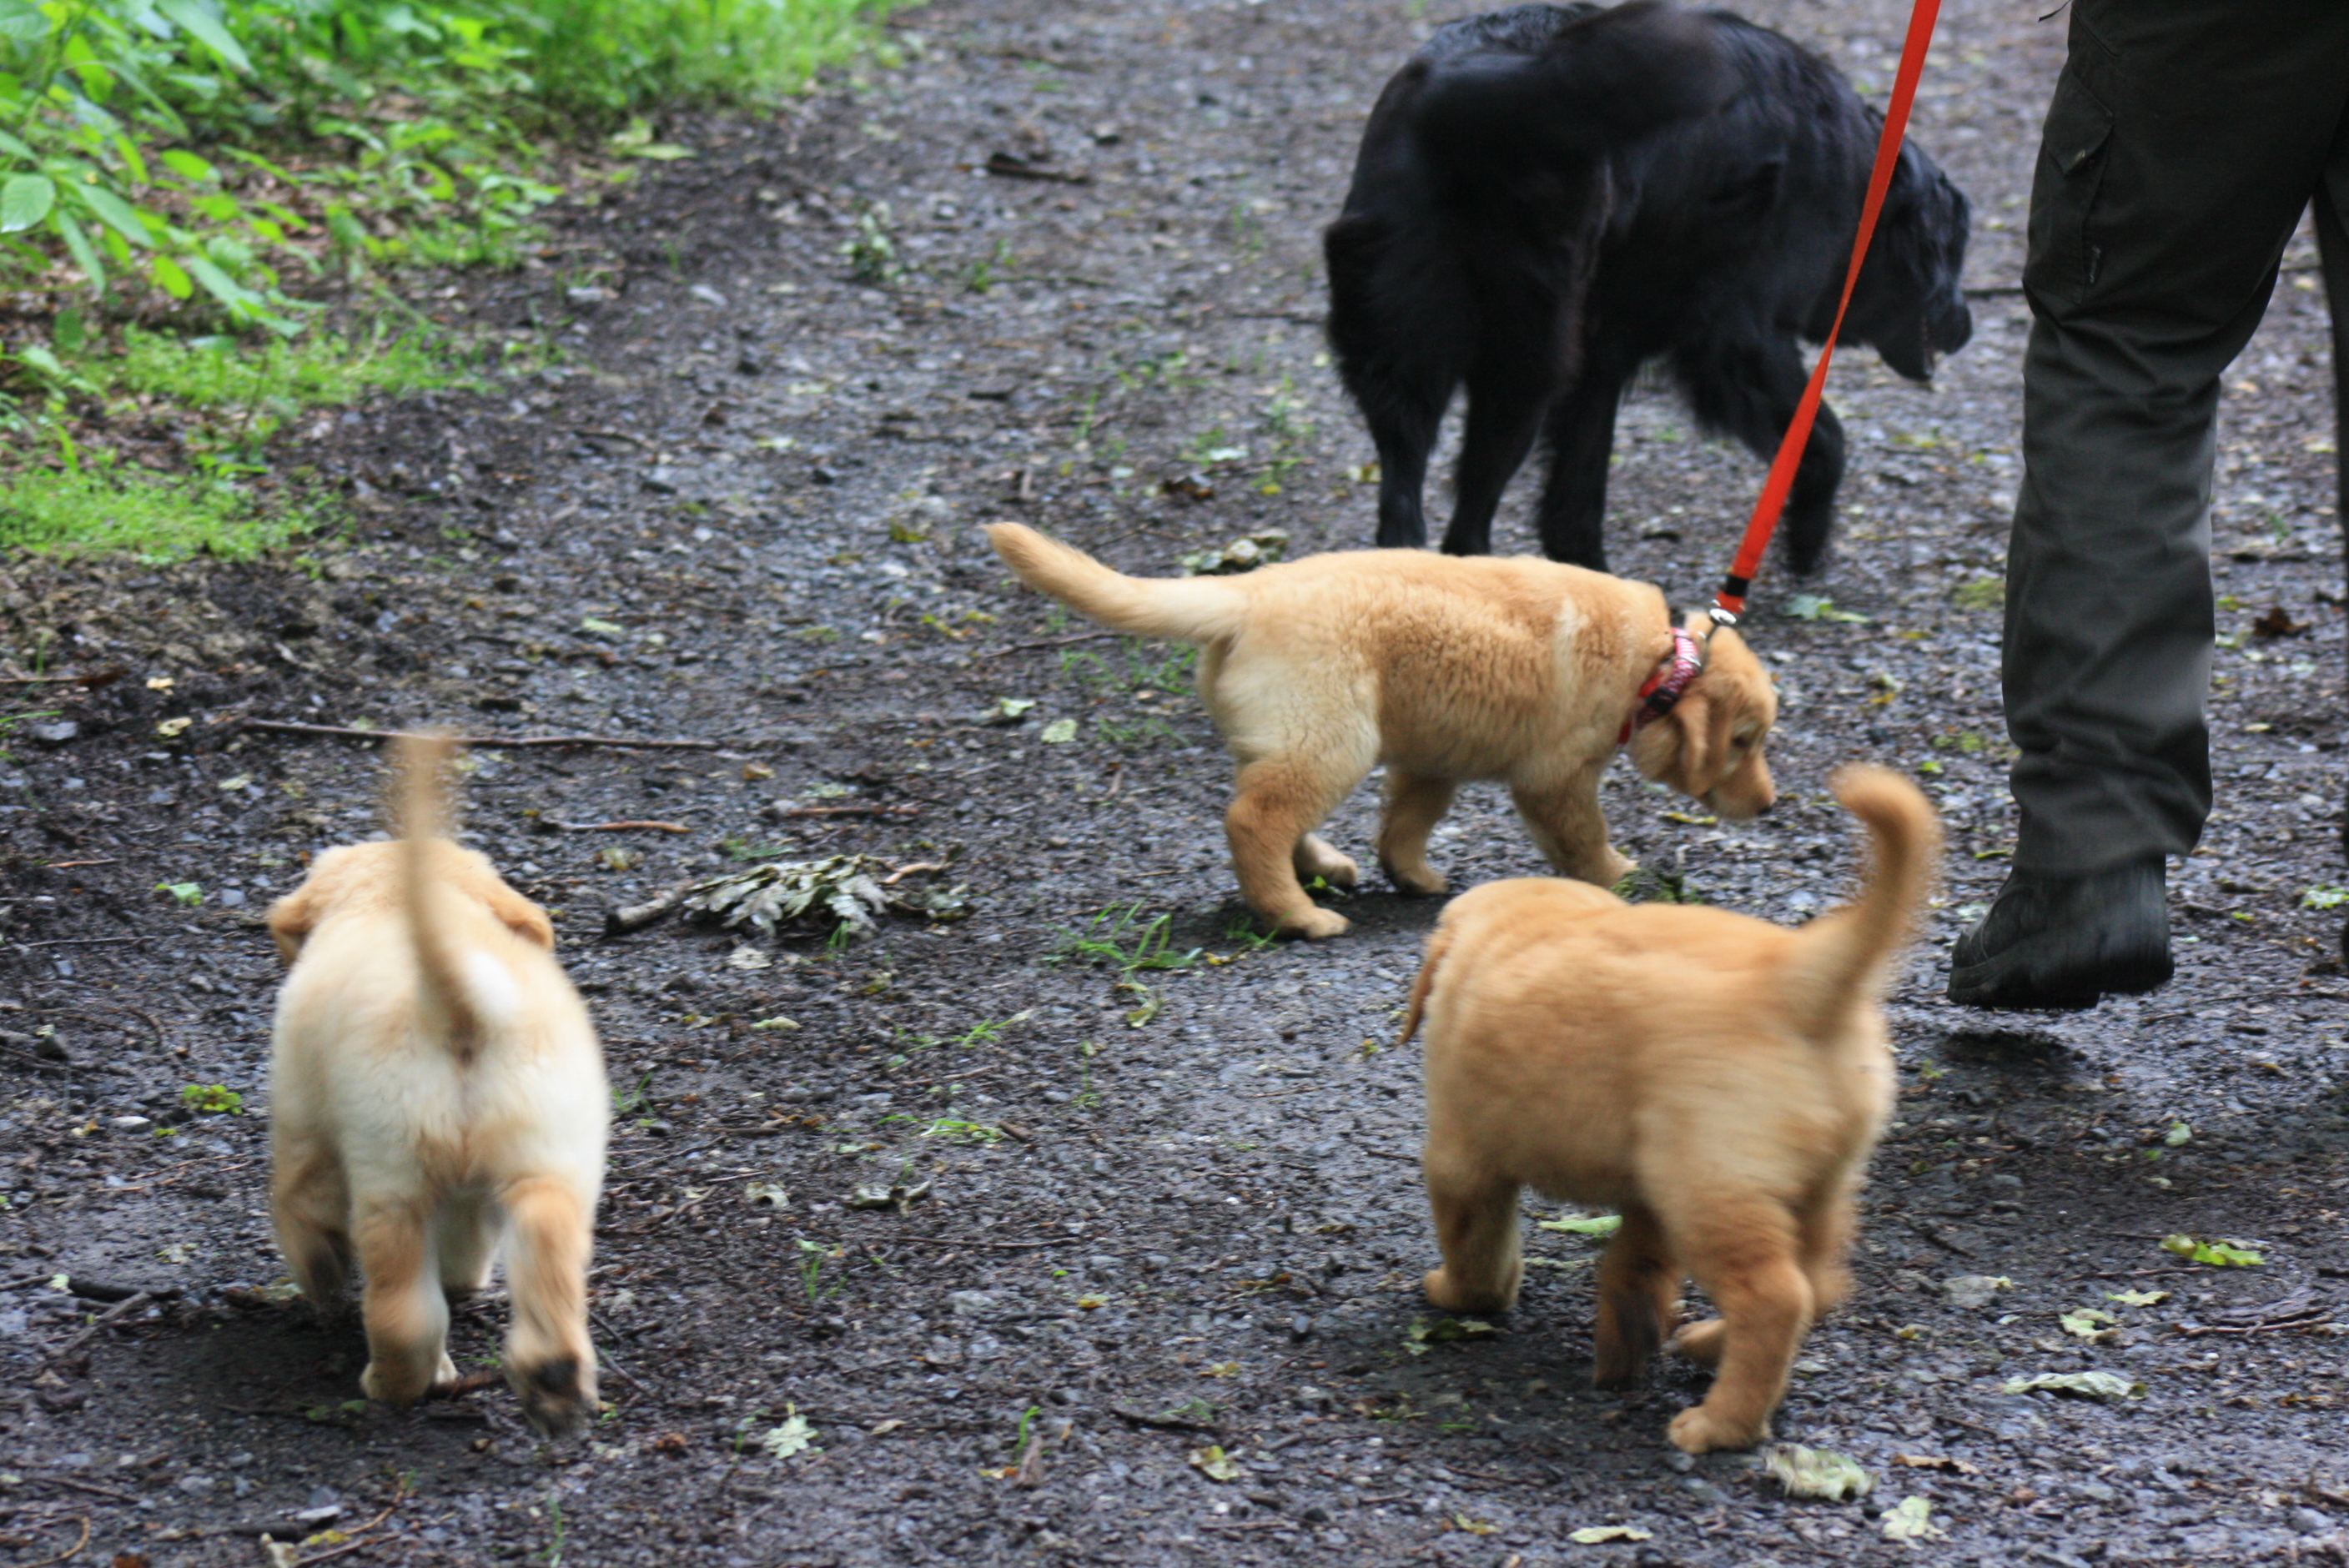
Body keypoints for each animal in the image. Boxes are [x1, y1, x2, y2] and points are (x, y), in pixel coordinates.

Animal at [266, 734, 609, 1437]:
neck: (389, 899)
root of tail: (459, 1008)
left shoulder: (303, 1119)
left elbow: (301, 1209)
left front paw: (318, 1280)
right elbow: (467, 1242)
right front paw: (465, 1280)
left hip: (391, 1178)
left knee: (402, 1312)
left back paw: (391, 1384)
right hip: (548, 1159)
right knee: (547, 1257)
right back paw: (553, 1382)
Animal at [986, 521, 1777, 939]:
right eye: (1744, 741)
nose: (1770, 806)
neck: (1658, 663)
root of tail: (1247, 592)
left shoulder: (1433, 756)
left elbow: (1408, 820)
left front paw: (1412, 875)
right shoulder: (1557, 775)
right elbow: (1581, 834)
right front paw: (1619, 876)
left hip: (1299, 733)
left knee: (1268, 803)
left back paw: (1326, 870)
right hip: (1332, 736)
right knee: (1254, 818)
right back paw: (1297, 915)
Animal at [1329, 4, 1972, 575]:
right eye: (1956, 253)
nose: (1967, 327)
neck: (1860, 185)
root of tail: (1491, 81)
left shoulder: (1601, 353)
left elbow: (1578, 482)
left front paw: (1588, 569)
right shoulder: (1736, 339)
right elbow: (1823, 440)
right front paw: (1806, 543)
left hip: (1407, 326)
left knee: (1403, 482)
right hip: (1523, 355)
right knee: (1468, 514)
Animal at [1399, 765, 1938, 1452]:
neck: (1510, 932)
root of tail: (1796, 981)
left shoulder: (1463, 1153)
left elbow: (1476, 1242)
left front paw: (1461, 1295)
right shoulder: (1646, 1186)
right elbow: (1636, 1265)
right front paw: (1625, 1342)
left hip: (1712, 1186)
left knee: (1776, 1295)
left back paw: (1720, 1423)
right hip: (1817, 1181)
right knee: (1820, 1282)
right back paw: (1708, 1344)